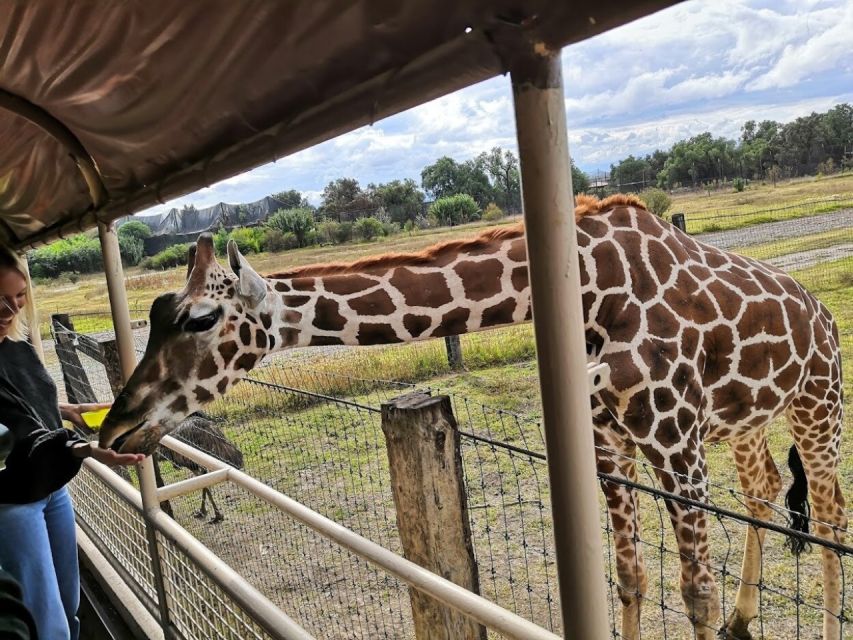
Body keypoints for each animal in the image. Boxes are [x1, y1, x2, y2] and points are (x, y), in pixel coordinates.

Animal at [100, 194, 844, 640]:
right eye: (154, 314)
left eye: (199, 318)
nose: (114, 429)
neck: (589, 290)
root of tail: (823, 314)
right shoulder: (609, 442)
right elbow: (629, 578)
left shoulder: (675, 443)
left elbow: (694, 594)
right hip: (747, 419)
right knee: (763, 490)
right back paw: (744, 621)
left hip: (818, 402)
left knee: (831, 517)